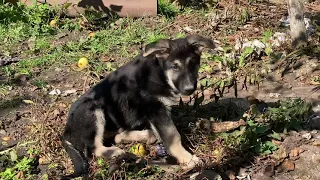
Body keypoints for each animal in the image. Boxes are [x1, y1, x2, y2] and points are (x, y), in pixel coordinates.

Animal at [60, 34, 215, 179]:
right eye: (174, 67)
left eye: (193, 64)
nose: (189, 89)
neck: (160, 73)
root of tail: (66, 132)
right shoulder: (155, 107)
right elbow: (172, 135)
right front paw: (187, 159)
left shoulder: (157, 110)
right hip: (91, 109)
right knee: (93, 147)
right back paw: (114, 151)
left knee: (115, 136)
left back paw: (145, 135)